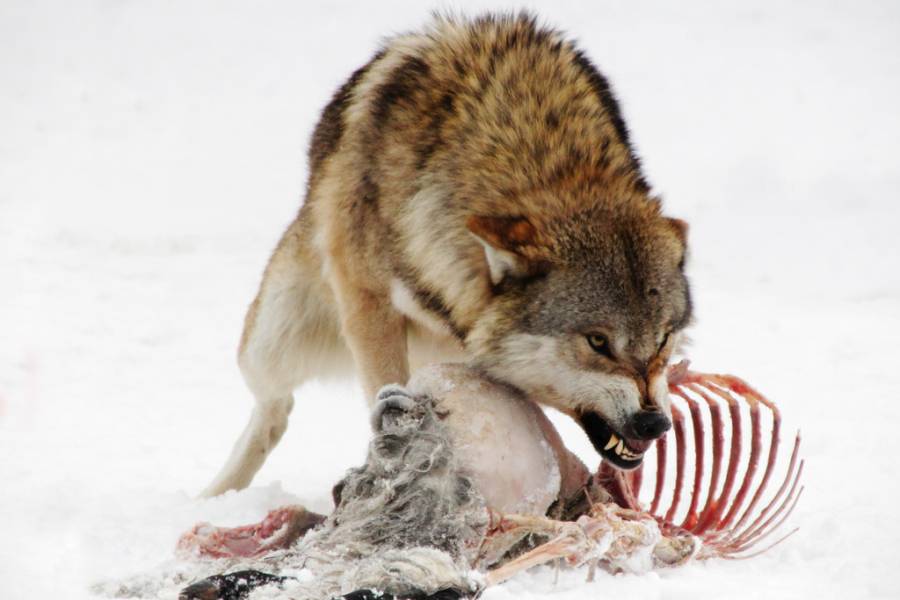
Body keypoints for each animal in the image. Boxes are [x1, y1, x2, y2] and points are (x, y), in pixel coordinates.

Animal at [202, 12, 688, 496]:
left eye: (664, 338)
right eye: (597, 342)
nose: (654, 424)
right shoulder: (368, 306)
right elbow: (385, 385)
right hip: (273, 340)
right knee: (274, 409)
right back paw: (215, 495)